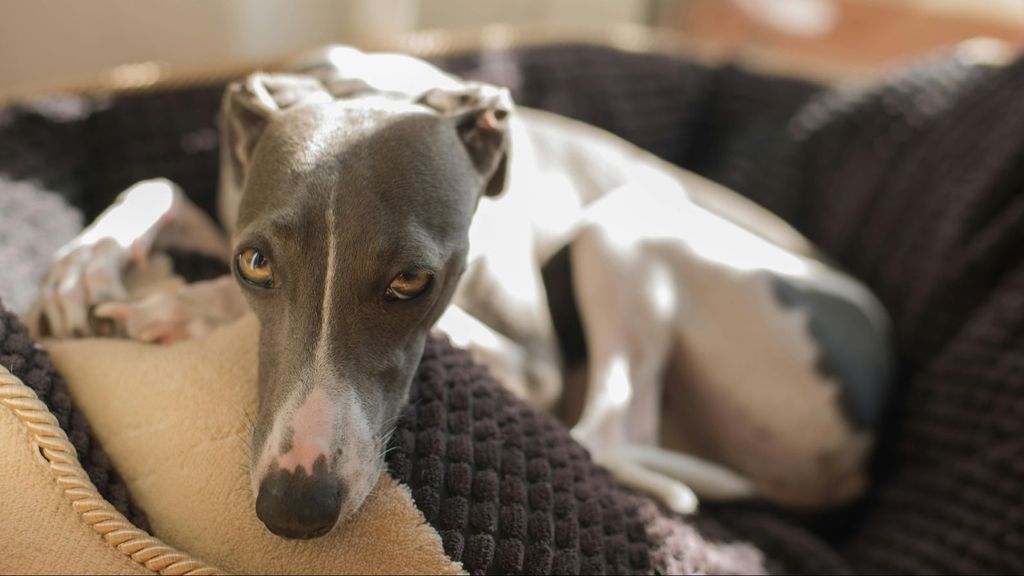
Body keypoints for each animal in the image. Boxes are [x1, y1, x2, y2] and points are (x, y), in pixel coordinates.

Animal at [29, 44, 897, 537]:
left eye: (413, 280)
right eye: (256, 264)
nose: (294, 509)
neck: (362, 88)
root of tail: (859, 450)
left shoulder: (532, 361)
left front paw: (179, 307)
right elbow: (164, 184)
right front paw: (87, 260)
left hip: (626, 223)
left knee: (605, 429)